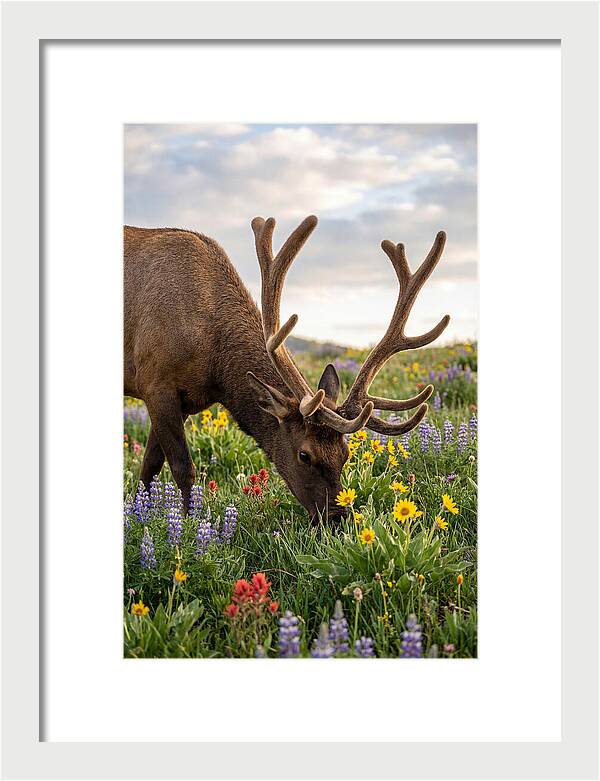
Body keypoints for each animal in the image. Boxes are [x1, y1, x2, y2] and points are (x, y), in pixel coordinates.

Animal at [124, 215, 450, 522]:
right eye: (304, 455)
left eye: (345, 453)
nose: (336, 518)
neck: (216, 367)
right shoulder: (156, 382)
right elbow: (181, 468)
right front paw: (186, 525)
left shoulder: (184, 400)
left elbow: (149, 467)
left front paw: (140, 515)